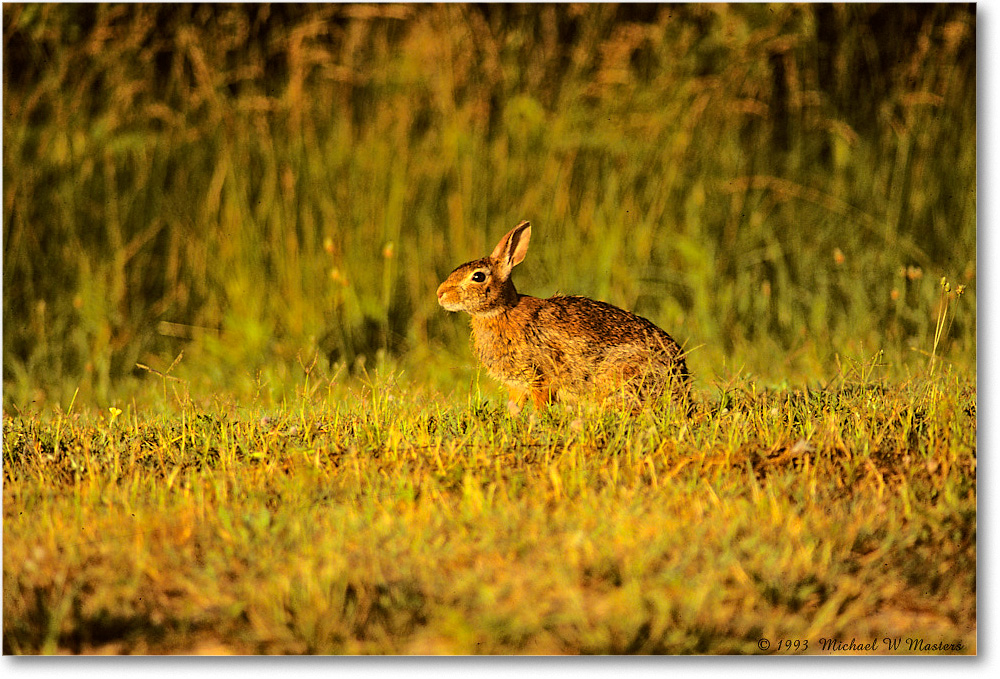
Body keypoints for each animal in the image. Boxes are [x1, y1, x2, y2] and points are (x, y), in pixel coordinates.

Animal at [434, 222, 692, 414]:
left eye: (478, 277)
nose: (440, 294)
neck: (501, 310)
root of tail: (680, 382)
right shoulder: (517, 384)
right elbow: (515, 407)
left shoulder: (539, 377)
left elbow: (540, 406)